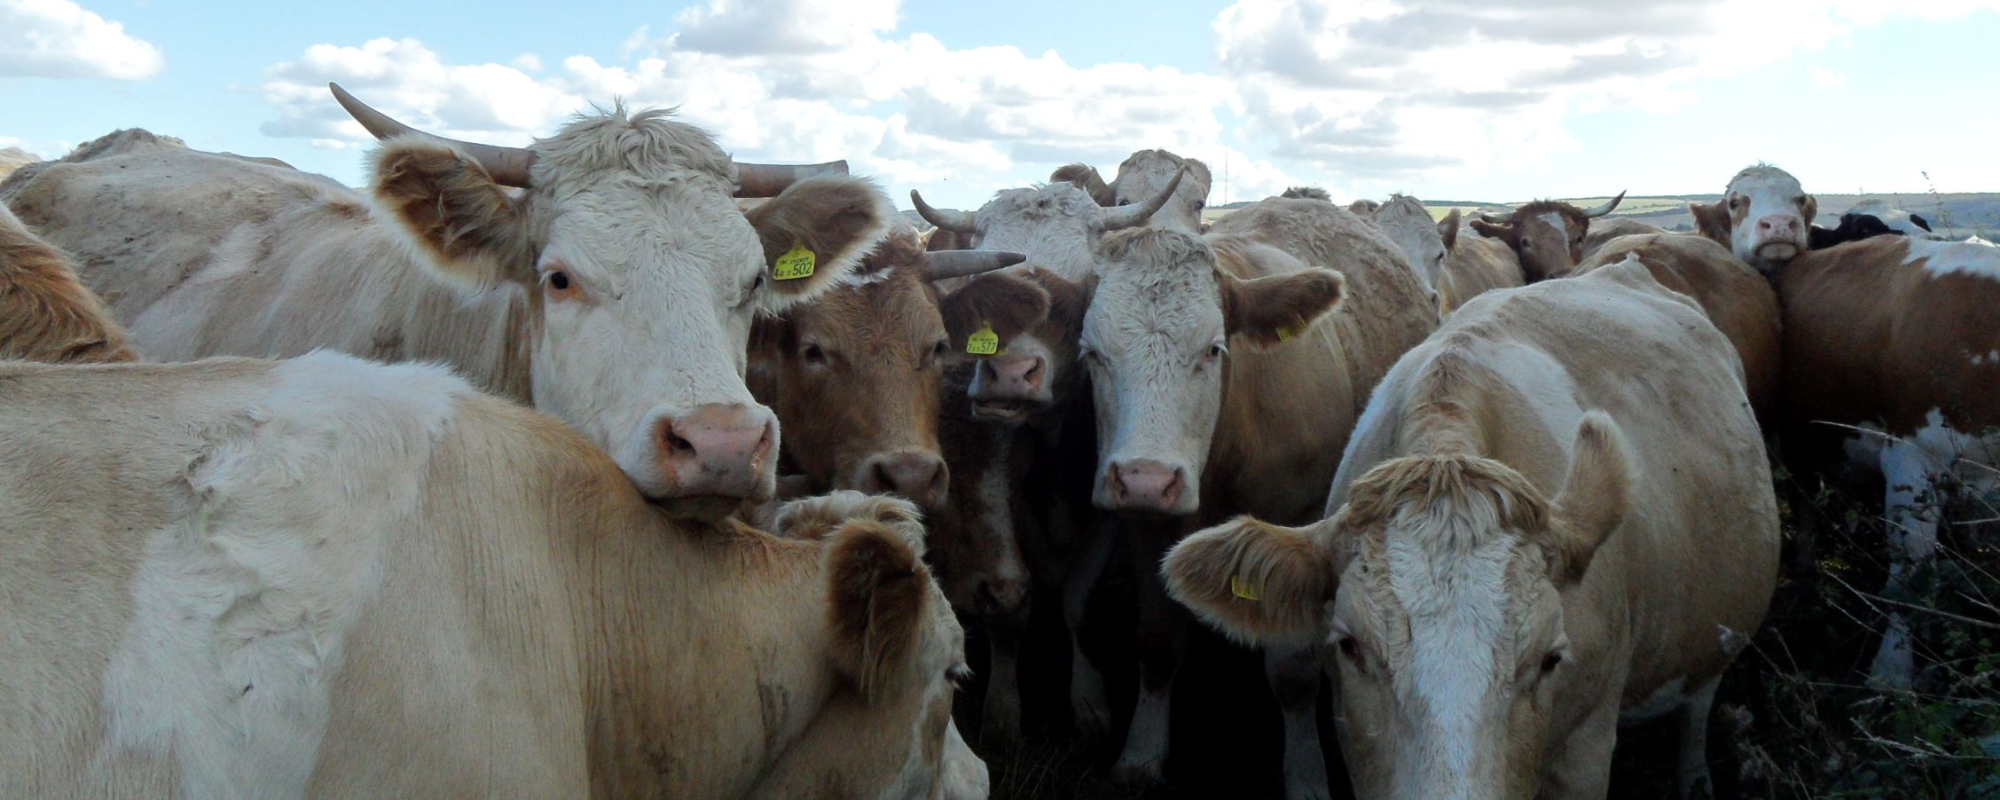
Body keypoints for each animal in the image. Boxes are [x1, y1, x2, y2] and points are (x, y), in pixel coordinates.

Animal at [1079, 198, 1436, 798]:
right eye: (1091, 354)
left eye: (1214, 349)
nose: (1146, 478)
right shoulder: (1144, 527)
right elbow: (1157, 644)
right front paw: (1142, 753)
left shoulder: (1301, 529)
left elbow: (1292, 675)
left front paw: (1307, 776)